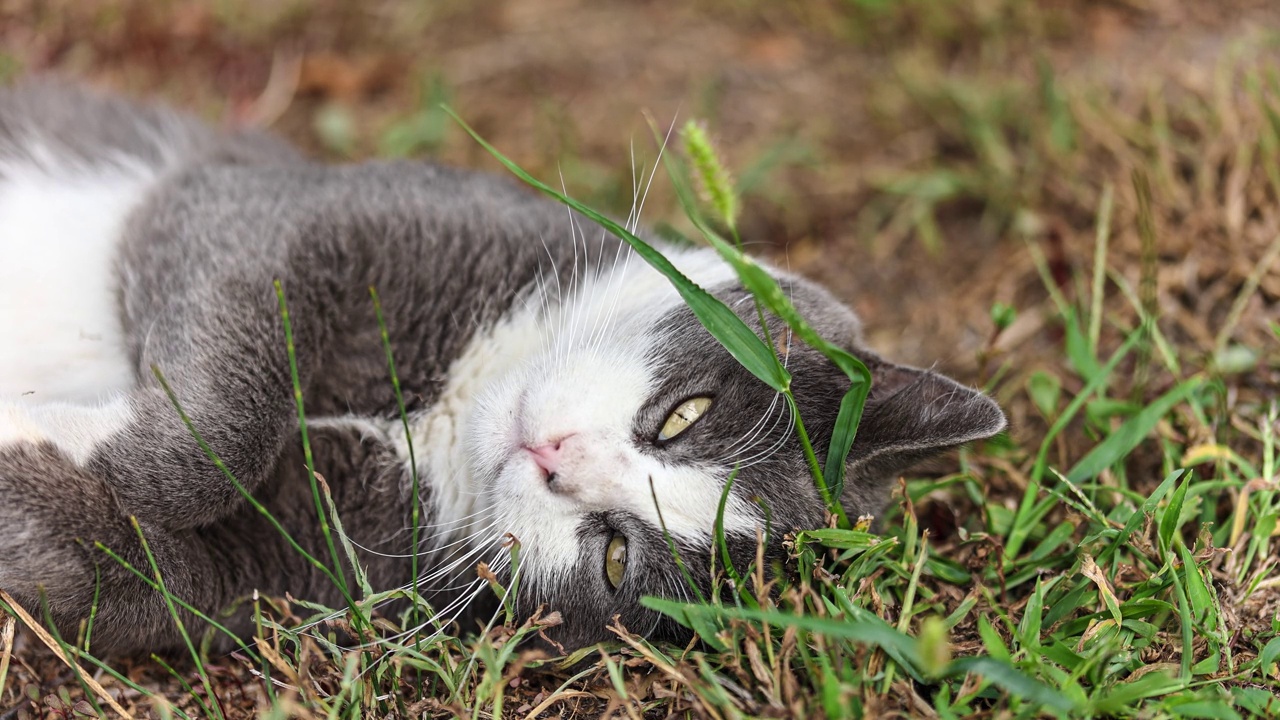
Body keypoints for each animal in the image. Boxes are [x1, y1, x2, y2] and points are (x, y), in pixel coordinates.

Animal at [0, 81, 1003, 653]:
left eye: (614, 557)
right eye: (683, 413)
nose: (557, 460)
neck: (448, 410)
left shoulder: (307, 566)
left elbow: (129, 580)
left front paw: (53, 446)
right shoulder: (270, 209)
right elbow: (225, 417)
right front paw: (130, 457)